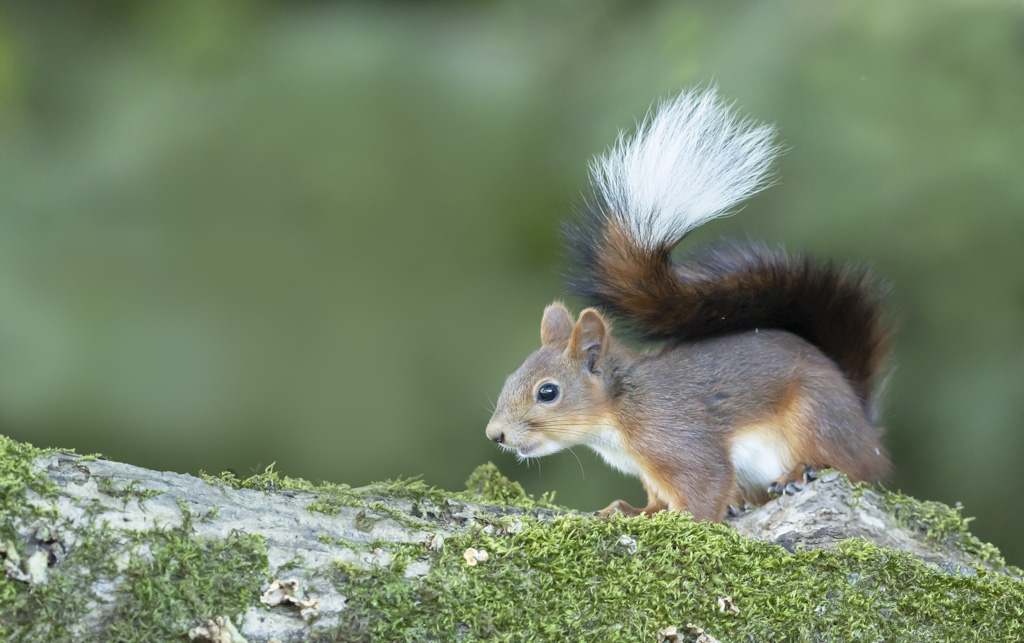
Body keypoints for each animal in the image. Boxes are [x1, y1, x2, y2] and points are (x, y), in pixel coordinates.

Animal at [483, 88, 892, 522]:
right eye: (511, 378)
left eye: (548, 392)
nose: (495, 434)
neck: (622, 409)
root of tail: (863, 420)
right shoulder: (647, 470)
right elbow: (656, 499)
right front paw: (634, 511)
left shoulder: (678, 439)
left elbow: (705, 486)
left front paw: (683, 519)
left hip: (815, 416)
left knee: (853, 466)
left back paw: (803, 471)